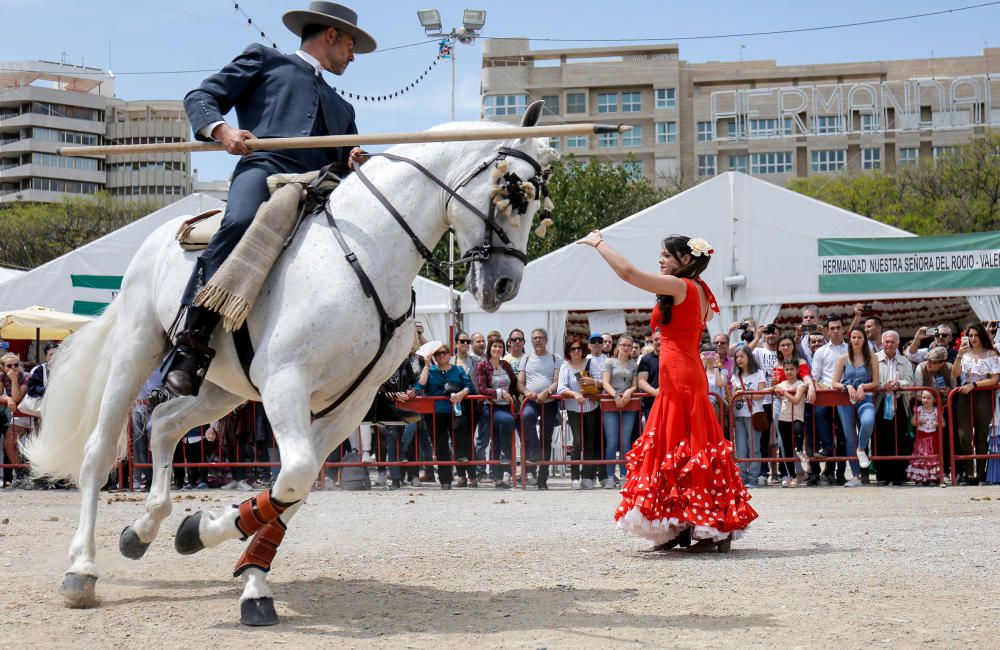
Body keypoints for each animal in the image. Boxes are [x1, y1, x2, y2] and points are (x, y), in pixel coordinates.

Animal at [21, 105, 556, 624]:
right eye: (513, 195)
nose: (505, 285)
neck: (368, 252)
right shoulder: (286, 384)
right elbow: (295, 474)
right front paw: (210, 534)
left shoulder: (349, 405)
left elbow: (293, 489)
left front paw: (240, 569)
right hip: (137, 350)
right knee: (98, 450)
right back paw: (81, 570)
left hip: (222, 389)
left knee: (164, 424)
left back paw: (143, 529)